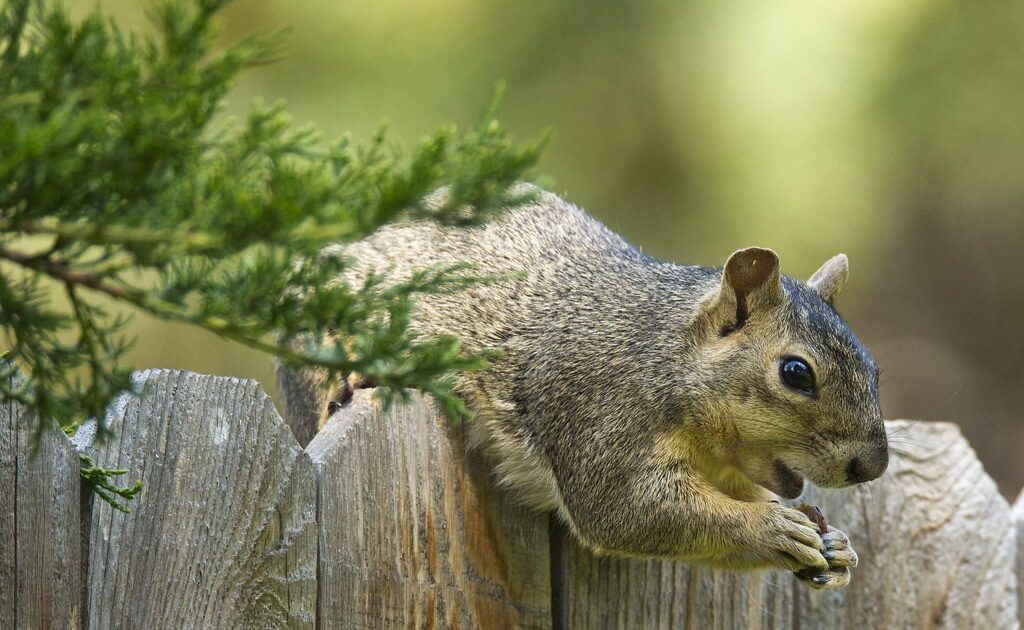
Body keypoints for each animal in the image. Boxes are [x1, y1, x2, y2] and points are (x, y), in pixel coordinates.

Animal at [280, 189, 888, 590]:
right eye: (796, 373)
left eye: (874, 369)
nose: (873, 466)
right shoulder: (599, 414)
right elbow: (627, 512)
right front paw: (771, 528)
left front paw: (835, 547)